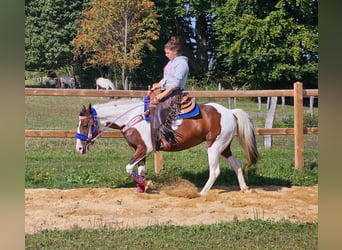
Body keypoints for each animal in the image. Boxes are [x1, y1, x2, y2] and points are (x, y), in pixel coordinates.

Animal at [75, 97, 260, 195]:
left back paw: (201, 194)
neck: (132, 117)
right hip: (224, 147)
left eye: (84, 125)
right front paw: (142, 188)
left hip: (213, 147)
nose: (79, 148)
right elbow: (140, 170)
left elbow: (128, 168)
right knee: (236, 164)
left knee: (215, 171)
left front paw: (147, 184)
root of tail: (230, 112)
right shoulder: (140, 151)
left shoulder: (144, 149)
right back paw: (244, 188)